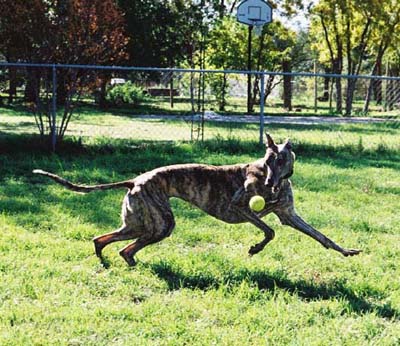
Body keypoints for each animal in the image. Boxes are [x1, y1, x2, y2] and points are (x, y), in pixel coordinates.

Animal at [32, 134, 360, 266]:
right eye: (267, 160)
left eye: (281, 159)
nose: (268, 183)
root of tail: (135, 180)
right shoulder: (241, 207)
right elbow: (269, 231)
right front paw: (255, 248)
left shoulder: (289, 215)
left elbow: (322, 237)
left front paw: (347, 251)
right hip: (159, 223)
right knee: (125, 247)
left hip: (139, 223)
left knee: (104, 240)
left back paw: (109, 259)